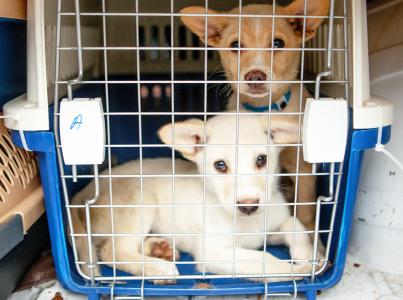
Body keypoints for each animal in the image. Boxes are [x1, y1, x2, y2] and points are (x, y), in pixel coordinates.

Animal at [72, 113, 318, 282]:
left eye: (261, 160)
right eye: (220, 165)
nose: (248, 206)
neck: (248, 223)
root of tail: (84, 192)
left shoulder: (271, 227)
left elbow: (295, 226)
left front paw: (309, 255)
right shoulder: (213, 253)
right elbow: (264, 260)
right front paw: (294, 270)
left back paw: (158, 248)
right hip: (141, 198)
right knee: (112, 250)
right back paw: (157, 267)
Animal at [181, 0, 330, 230]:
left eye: (278, 43)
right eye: (235, 45)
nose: (255, 76)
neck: (264, 108)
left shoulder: (302, 167)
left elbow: (305, 210)